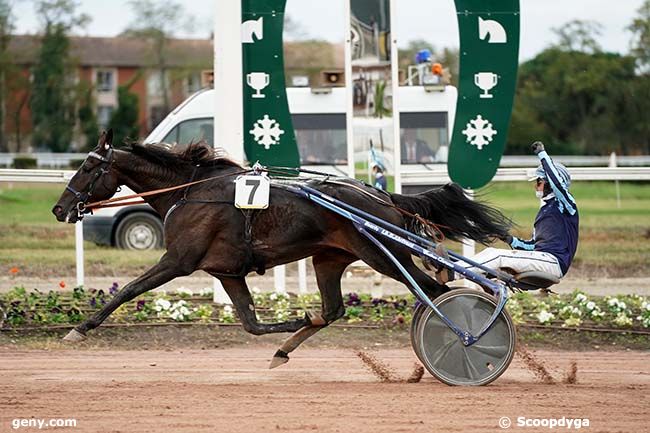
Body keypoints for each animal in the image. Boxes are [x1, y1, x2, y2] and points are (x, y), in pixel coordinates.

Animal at [52, 131, 512, 364]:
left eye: (88, 166)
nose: (59, 208)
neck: (190, 192)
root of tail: (384, 196)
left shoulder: (178, 261)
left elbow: (129, 290)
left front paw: (80, 328)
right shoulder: (227, 272)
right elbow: (252, 324)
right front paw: (294, 324)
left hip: (384, 255)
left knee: (436, 292)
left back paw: (462, 341)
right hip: (329, 258)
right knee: (334, 310)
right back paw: (289, 345)